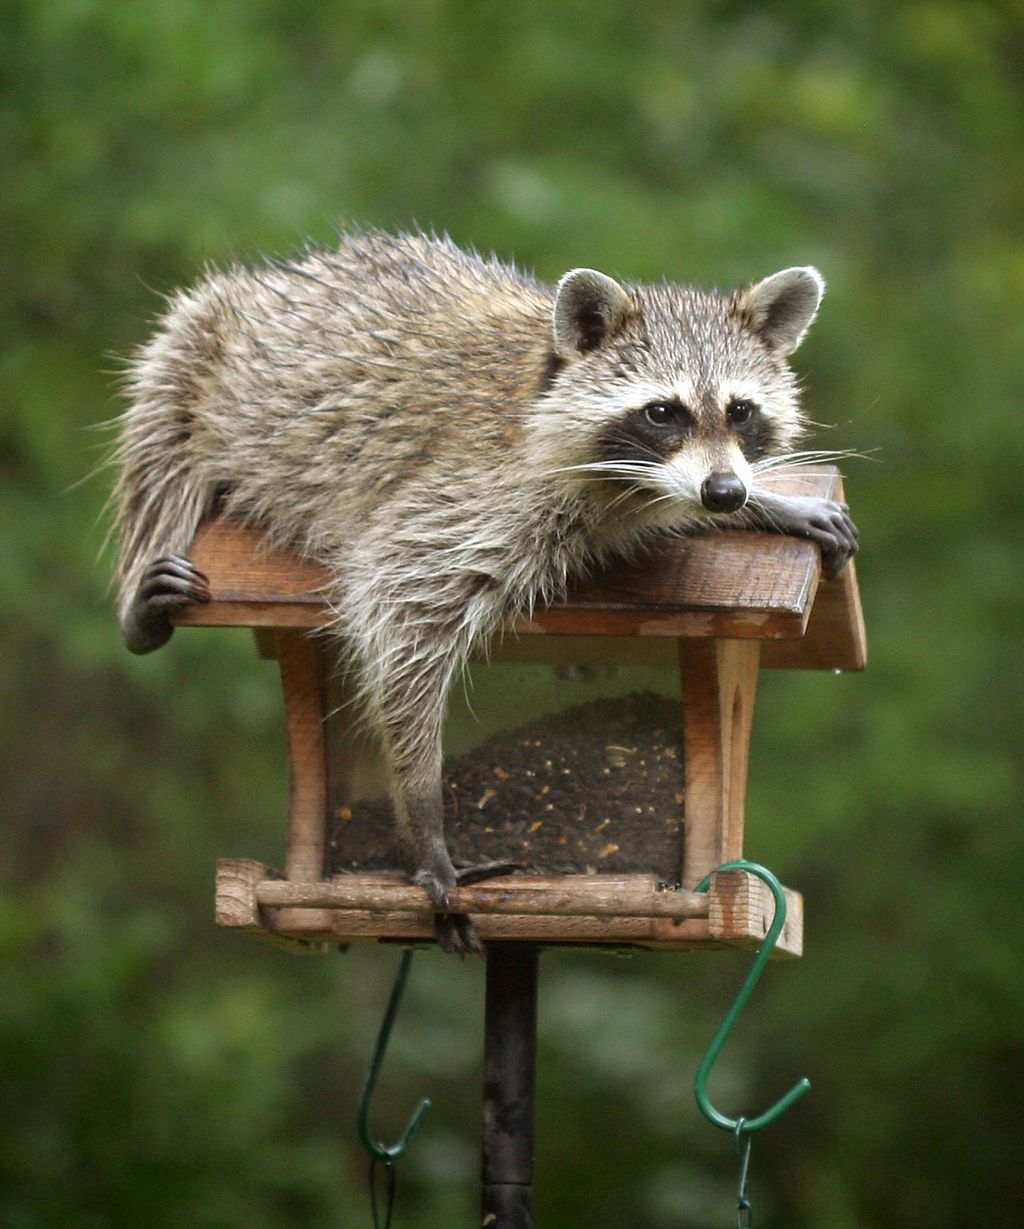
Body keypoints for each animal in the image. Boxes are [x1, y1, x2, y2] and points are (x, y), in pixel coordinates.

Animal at [112, 229, 857, 954]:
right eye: (662, 412)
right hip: (192, 355)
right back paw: (140, 604)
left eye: (741, 410)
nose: (723, 491)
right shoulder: (472, 493)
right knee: (160, 455)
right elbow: (401, 606)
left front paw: (763, 502)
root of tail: (275, 277)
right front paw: (422, 814)